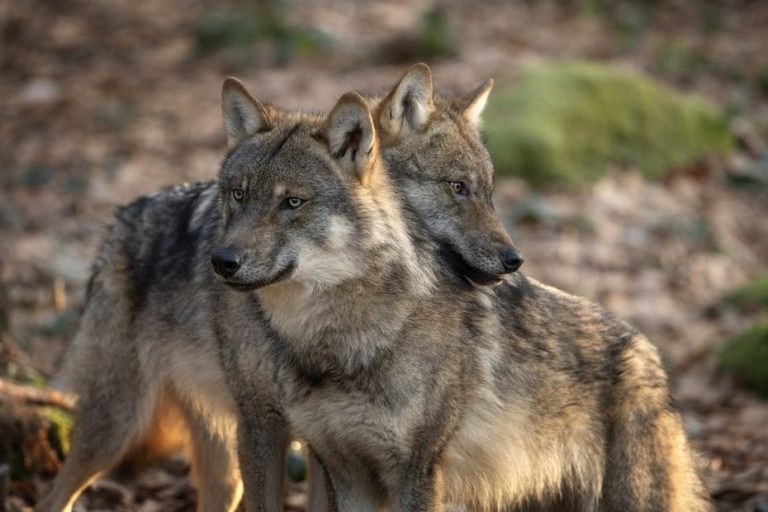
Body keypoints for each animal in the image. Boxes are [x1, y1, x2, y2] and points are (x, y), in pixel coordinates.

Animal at [36, 63, 519, 512]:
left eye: (487, 192)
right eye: (457, 187)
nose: (514, 261)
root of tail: (119, 217)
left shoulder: (323, 438)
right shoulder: (263, 422)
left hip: (216, 460)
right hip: (116, 427)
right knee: (52, 497)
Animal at [213, 81, 712, 511]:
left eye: (292, 202)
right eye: (238, 195)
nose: (221, 260)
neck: (337, 340)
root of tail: (651, 353)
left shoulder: (417, 472)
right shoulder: (345, 469)